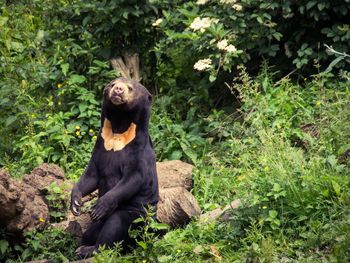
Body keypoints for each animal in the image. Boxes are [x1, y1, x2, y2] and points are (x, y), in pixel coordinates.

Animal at [70, 77, 159, 258]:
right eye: (112, 84)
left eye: (130, 88)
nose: (118, 90)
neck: (118, 130)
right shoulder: (100, 145)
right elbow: (91, 176)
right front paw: (75, 203)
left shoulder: (138, 152)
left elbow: (132, 179)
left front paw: (99, 207)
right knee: (90, 232)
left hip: (137, 218)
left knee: (114, 225)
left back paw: (88, 249)